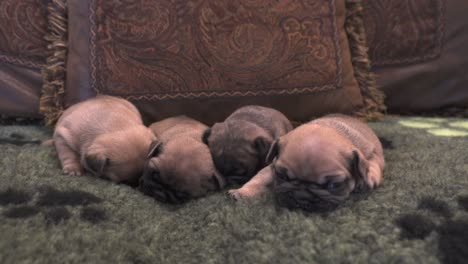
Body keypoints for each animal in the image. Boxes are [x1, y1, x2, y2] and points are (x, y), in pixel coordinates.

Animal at [229, 114, 386, 212]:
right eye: (282, 176)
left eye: (334, 185)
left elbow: (372, 164)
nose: (301, 196)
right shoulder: (272, 167)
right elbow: (258, 180)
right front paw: (242, 192)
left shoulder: (373, 153)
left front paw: (368, 177)